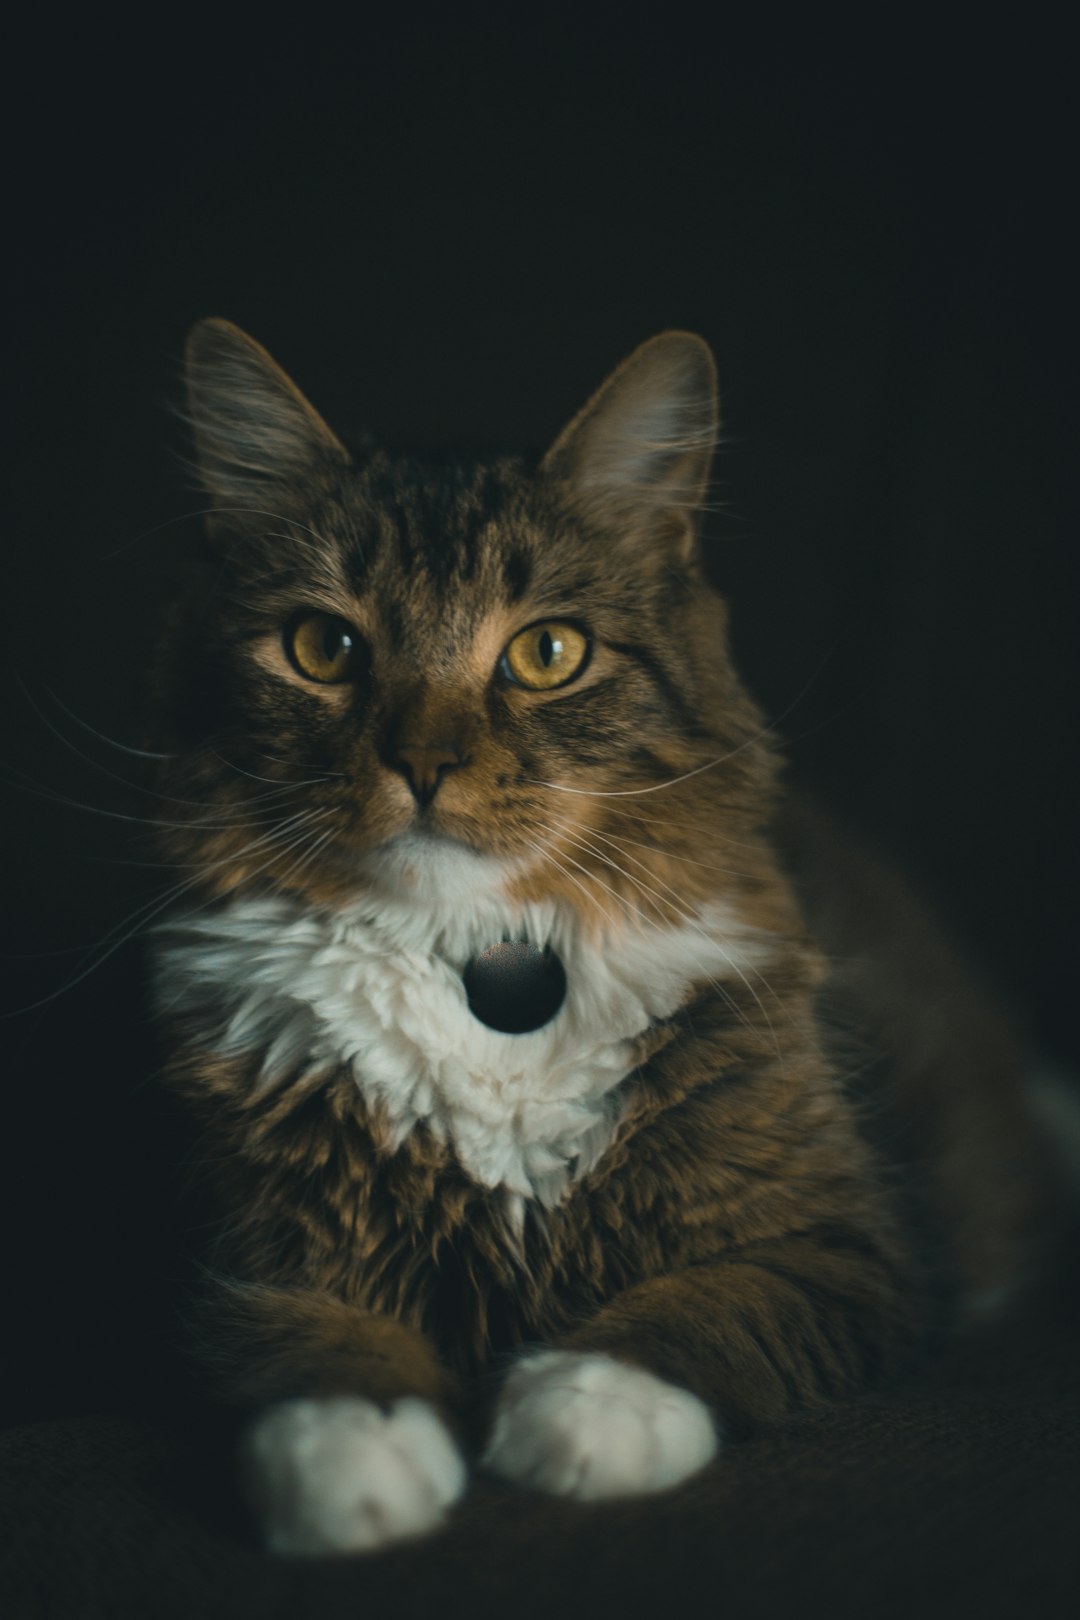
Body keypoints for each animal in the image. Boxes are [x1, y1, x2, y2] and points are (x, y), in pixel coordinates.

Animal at [148, 319, 1049, 1555]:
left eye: (547, 654)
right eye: (324, 647)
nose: (423, 764)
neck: (484, 958)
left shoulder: (846, 1240)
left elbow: (707, 1308)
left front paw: (588, 1408)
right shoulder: (257, 1249)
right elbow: (303, 1341)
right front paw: (357, 1454)